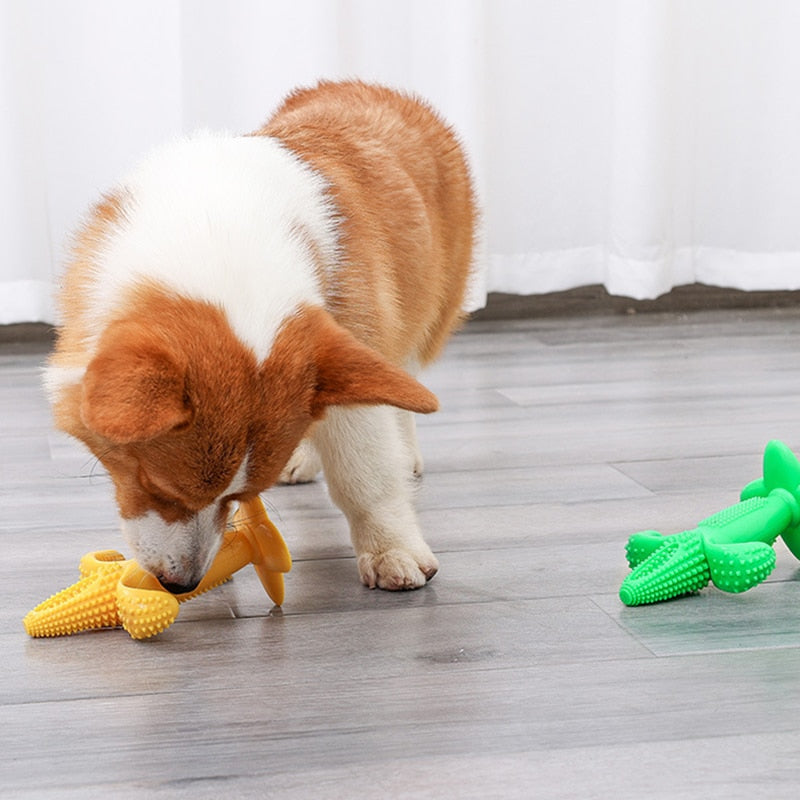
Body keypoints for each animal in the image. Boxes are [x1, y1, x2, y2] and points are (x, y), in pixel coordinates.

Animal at [43, 81, 476, 592]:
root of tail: (370, 87)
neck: (211, 233)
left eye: (234, 495)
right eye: (155, 486)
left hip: (420, 309)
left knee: (402, 382)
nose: (181, 585)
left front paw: (393, 552)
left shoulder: (354, 334)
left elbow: (364, 474)